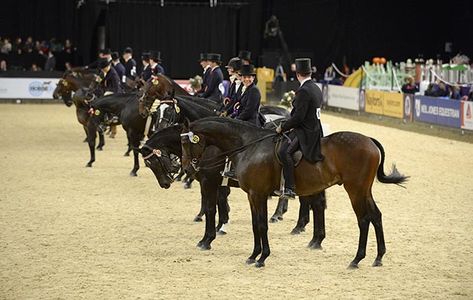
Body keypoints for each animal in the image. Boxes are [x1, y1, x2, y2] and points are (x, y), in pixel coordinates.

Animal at [179, 116, 408, 268]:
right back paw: (378, 257)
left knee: (363, 219)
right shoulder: (252, 195)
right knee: (376, 216)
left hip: (355, 190)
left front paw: (262, 257)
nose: (188, 169)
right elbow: (255, 225)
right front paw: (253, 255)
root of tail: (368, 139)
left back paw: (357, 259)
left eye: (186, 143)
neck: (248, 145)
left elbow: (261, 225)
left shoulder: (257, 194)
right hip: (364, 190)